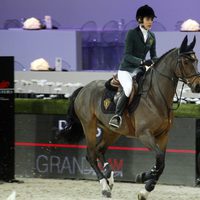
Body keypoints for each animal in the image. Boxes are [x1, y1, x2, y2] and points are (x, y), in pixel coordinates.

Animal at [63, 35, 199, 199]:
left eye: (196, 60)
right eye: (185, 62)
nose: (198, 86)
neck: (156, 96)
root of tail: (84, 88)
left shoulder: (163, 136)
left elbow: (161, 163)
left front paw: (145, 189)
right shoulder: (144, 135)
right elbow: (159, 160)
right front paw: (143, 176)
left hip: (111, 131)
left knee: (100, 150)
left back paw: (109, 177)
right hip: (89, 126)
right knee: (91, 155)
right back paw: (105, 187)